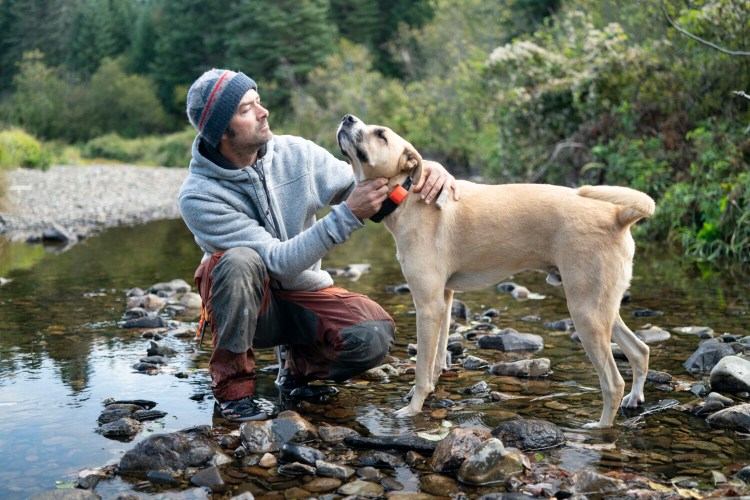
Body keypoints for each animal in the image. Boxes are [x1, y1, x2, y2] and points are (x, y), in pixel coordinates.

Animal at [336, 114, 656, 430]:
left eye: (381, 134)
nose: (347, 118)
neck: (406, 196)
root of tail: (617, 215)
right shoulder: (444, 300)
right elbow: (437, 359)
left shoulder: (427, 305)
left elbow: (422, 367)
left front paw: (414, 408)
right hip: (600, 307)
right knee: (640, 351)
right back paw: (634, 398)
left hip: (585, 312)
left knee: (613, 382)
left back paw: (598, 428)